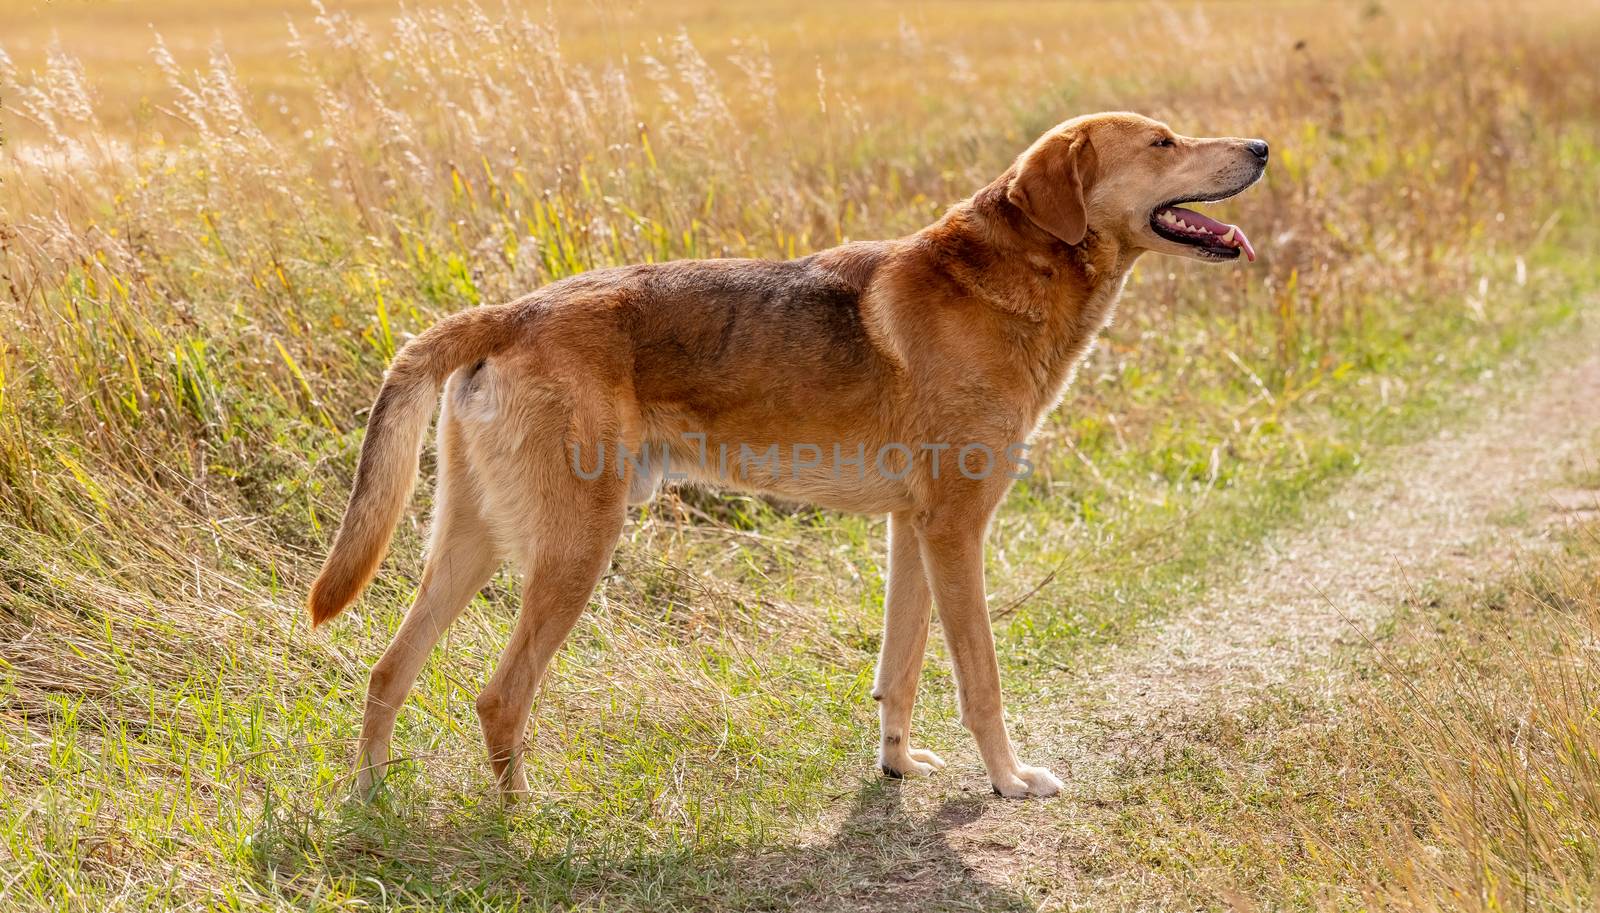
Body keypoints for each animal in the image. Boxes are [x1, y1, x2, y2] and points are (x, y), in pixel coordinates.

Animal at [305, 112, 1267, 799]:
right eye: (1163, 142)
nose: (1261, 146)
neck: (1015, 276)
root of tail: (508, 312)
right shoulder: (957, 530)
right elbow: (980, 679)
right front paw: (1008, 779)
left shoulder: (913, 533)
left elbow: (900, 669)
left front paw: (897, 766)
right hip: (574, 547)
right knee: (500, 696)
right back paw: (520, 822)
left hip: (473, 544)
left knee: (387, 672)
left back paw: (370, 801)